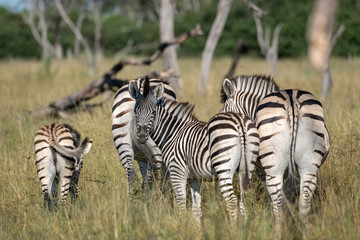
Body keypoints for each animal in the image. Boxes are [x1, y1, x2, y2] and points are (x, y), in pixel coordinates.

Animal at [128, 80, 258, 221]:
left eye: (153, 112)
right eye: (135, 111)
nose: (141, 136)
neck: (173, 133)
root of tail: (240, 122)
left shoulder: (177, 172)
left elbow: (181, 205)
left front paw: (182, 225)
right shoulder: (194, 178)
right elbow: (196, 209)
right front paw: (196, 227)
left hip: (224, 167)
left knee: (232, 200)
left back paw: (234, 227)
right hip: (246, 167)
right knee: (244, 199)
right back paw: (243, 226)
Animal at [219, 76, 330, 234]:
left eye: (225, 111)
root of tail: (291, 99)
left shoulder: (262, 172)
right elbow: (289, 198)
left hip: (273, 168)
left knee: (278, 204)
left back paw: (277, 233)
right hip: (309, 167)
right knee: (304, 203)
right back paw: (304, 233)